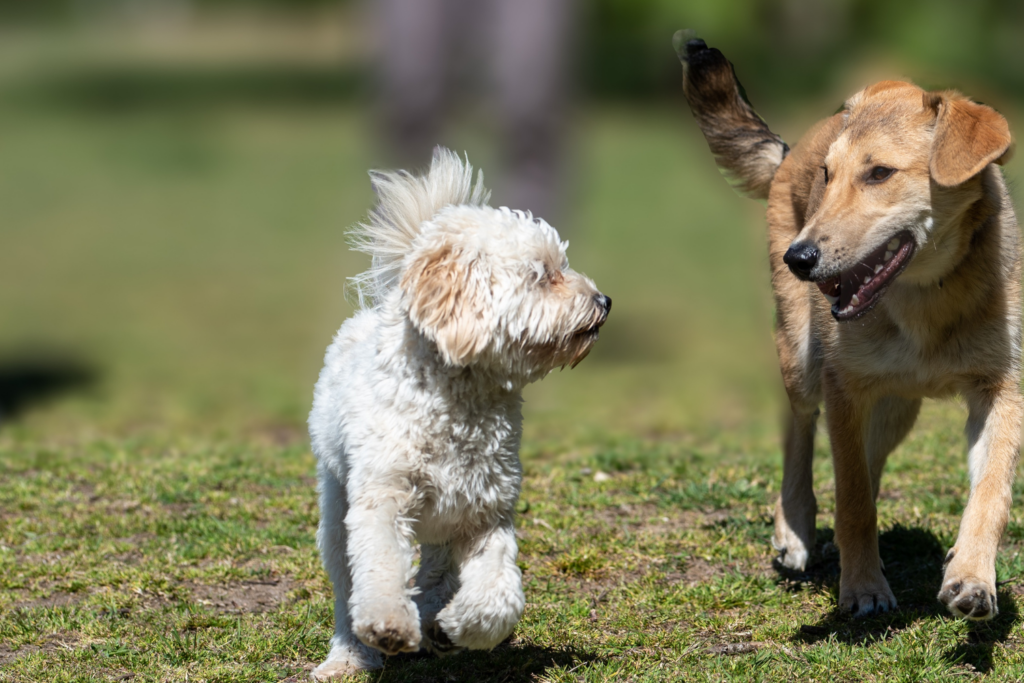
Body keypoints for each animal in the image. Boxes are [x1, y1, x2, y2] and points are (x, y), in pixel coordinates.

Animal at [305, 149, 606, 679]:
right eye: (542, 273)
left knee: (436, 573)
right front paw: (388, 625)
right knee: (348, 584)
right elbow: (379, 569)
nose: (604, 302)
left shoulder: (484, 514)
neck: (460, 400)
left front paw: (455, 628)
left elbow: (500, 598)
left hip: (443, 529)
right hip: (337, 506)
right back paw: (349, 654)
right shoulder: (383, 499)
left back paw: (431, 621)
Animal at [675, 34, 1019, 622]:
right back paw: (795, 529)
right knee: (801, 430)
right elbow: (853, 497)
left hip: (896, 406)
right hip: (802, 358)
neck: (927, 299)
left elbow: (989, 491)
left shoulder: (1000, 389)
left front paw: (972, 576)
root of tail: (791, 149)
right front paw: (862, 588)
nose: (799, 258)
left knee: (866, 458)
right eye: (827, 176)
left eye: (879, 173)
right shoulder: (844, 388)